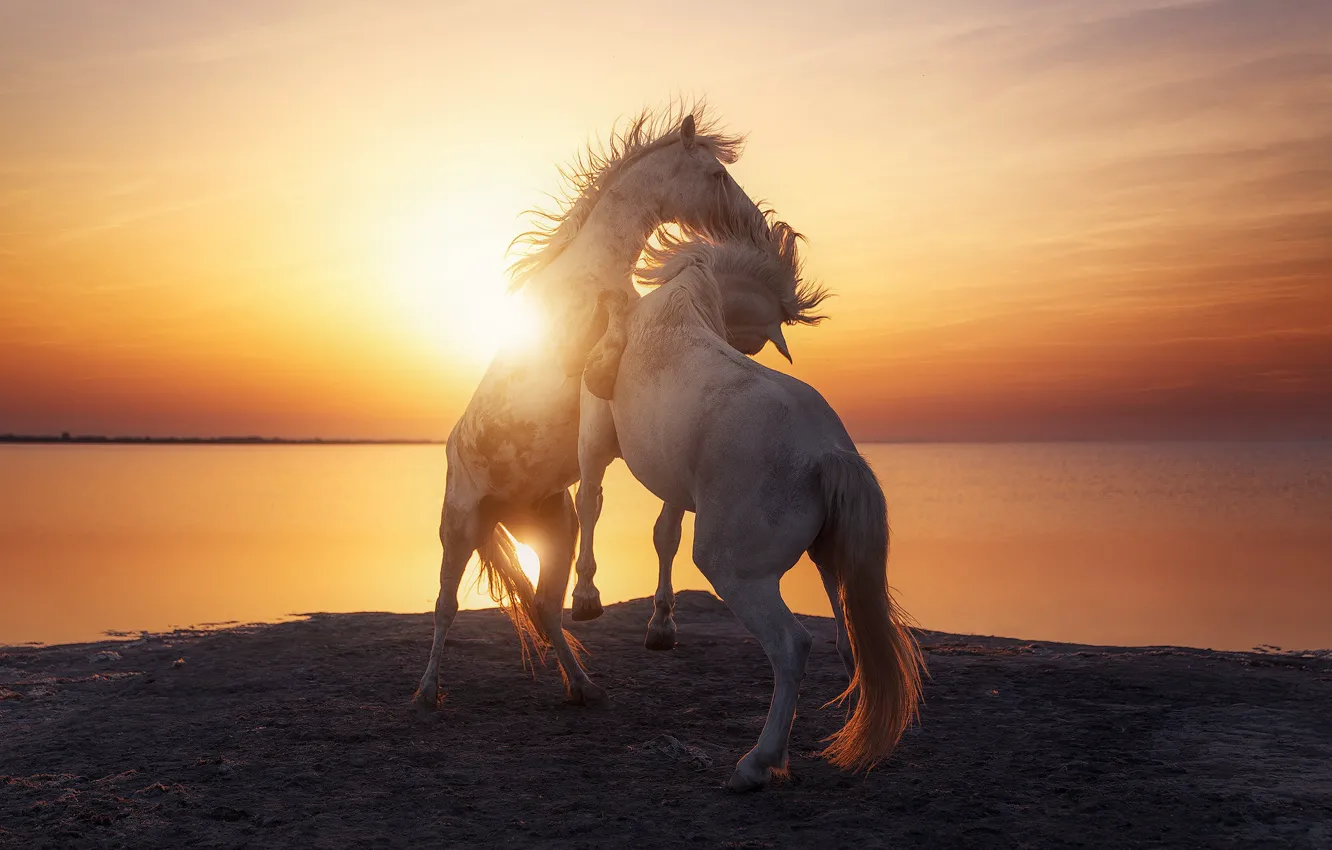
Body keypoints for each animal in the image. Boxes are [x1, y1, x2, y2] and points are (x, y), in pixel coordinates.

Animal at [412, 105, 771, 714]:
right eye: (717, 175)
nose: (755, 226)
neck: (591, 272)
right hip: (457, 527)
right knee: (445, 607)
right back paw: (426, 690)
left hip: (553, 531)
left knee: (544, 607)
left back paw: (582, 685)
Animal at [570, 225, 925, 791]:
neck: (682, 298)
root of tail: (828, 453)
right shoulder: (677, 481)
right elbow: (663, 534)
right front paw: (661, 625)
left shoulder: (595, 434)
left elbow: (589, 502)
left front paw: (586, 596)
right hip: (831, 558)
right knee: (850, 638)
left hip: (734, 571)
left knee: (792, 645)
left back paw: (758, 762)